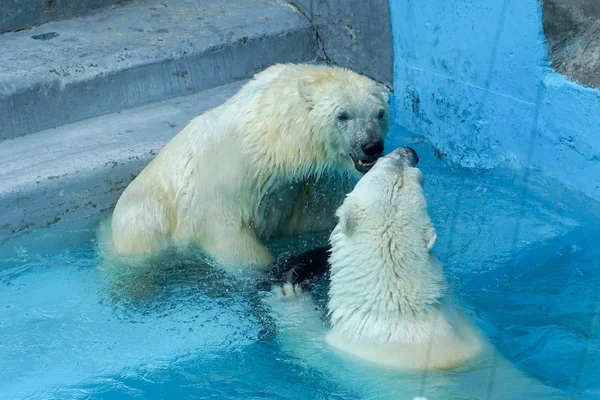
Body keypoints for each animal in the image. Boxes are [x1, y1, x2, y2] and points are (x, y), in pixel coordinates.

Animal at [107, 63, 390, 268]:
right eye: (343, 115)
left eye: (379, 113)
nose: (371, 146)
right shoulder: (224, 184)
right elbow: (227, 236)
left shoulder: (300, 185)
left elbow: (318, 214)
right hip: (143, 222)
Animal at [268, 148, 568, 400]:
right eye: (392, 166)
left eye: (413, 174)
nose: (409, 151)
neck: (399, 308)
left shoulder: (349, 351)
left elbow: (304, 342)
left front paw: (288, 291)